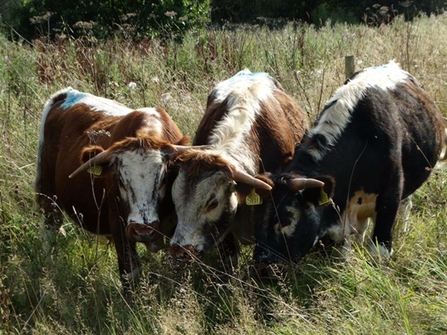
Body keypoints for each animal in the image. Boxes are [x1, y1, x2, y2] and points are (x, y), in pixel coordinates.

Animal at [35, 88, 189, 288]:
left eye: (163, 179)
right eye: (121, 180)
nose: (143, 231)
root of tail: (67, 94)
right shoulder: (119, 226)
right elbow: (130, 275)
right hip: (49, 198)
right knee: (49, 234)